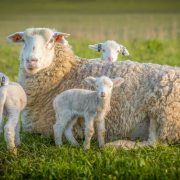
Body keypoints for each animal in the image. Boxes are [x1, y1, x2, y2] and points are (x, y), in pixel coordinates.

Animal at [7, 27, 180, 148]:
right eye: (23, 40)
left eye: (51, 41)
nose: (31, 61)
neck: (66, 74)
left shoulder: (43, 129)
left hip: (163, 115)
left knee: (155, 142)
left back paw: (118, 145)